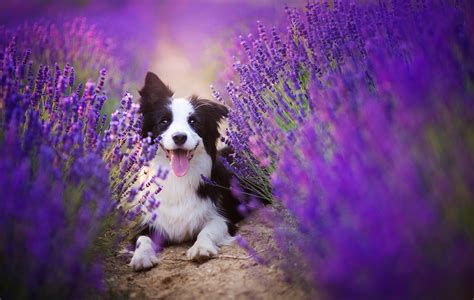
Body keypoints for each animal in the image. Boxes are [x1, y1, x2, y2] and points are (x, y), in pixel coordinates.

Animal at [130, 73, 244, 272]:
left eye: (193, 122)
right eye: (164, 121)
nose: (179, 137)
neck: (178, 180)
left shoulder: (222, 217)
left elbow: (208, 230)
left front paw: (201, 248)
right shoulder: (148, 223)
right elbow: (142, 239)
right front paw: (141, 257)